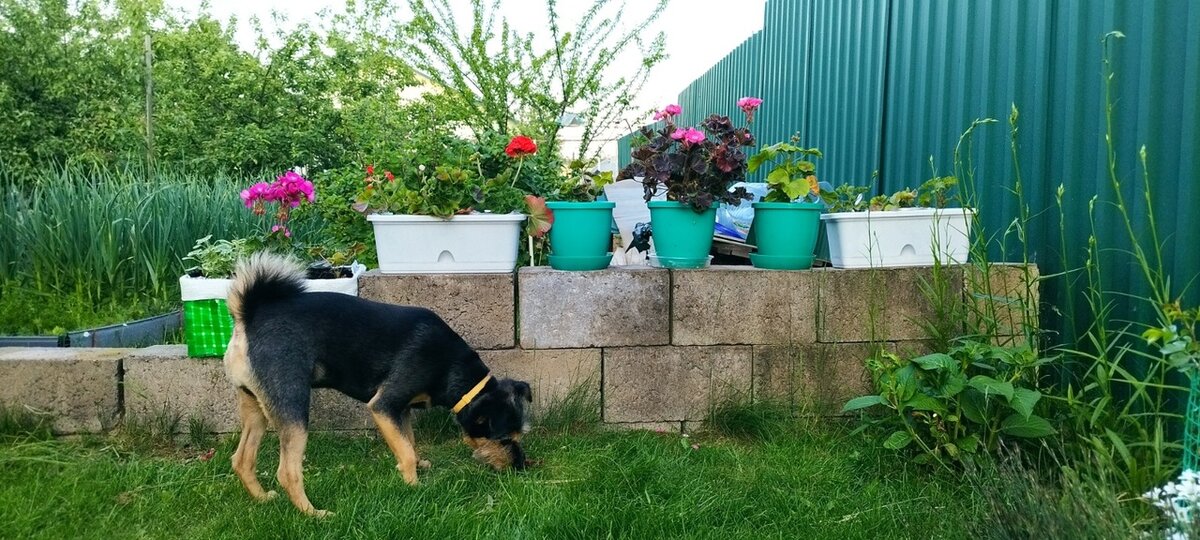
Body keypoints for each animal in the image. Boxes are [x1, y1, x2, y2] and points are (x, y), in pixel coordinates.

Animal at [222, 253, 530, 513]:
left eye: (519, 437)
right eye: (503, 439)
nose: (521, 467)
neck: (451, 366)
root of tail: (250, 315)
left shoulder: (401, 409)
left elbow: (408, 442)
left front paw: (417, 467)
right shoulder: (384, 404)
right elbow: (406, 450)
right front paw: (414, 486)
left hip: (255, 405)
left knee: (242, 460)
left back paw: (263, 498)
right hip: (292, 405)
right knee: (287, 472)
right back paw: (314, 514)